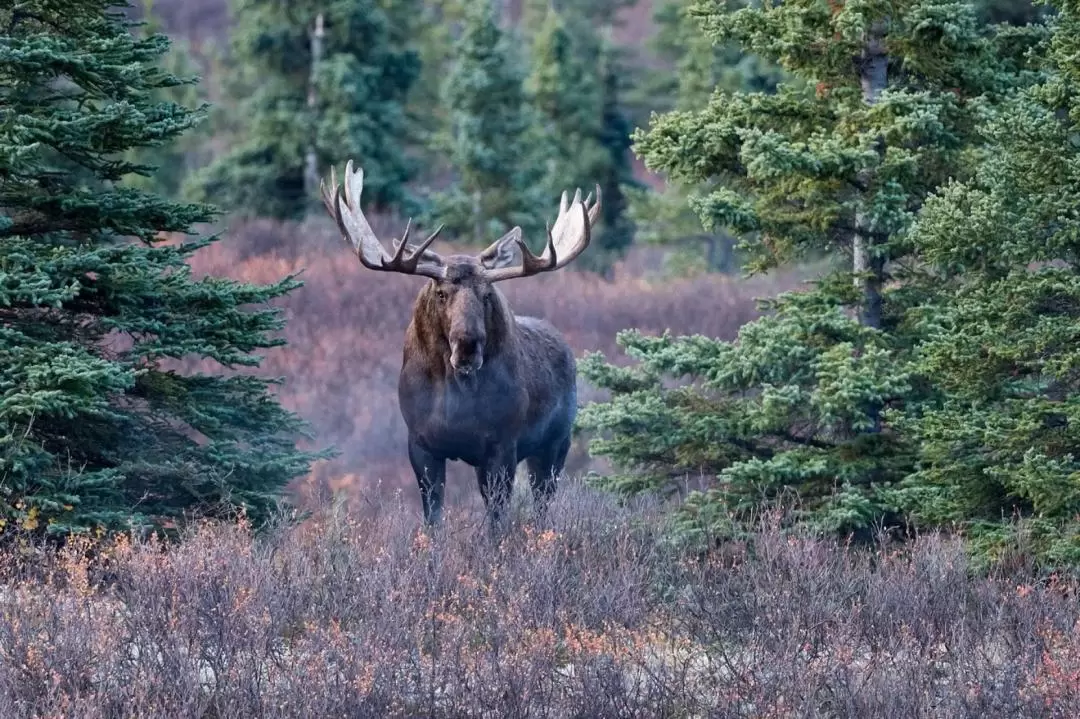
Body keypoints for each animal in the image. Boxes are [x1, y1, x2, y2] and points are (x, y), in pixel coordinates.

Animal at [315, 160, 604, 526]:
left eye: (487, 295)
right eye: (441, 293)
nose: (468, 345)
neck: (456, 400)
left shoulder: (502, 445)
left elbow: (496, 520)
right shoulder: (420, 444)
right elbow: (433, 517)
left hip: (556, 442)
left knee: (542, 503)